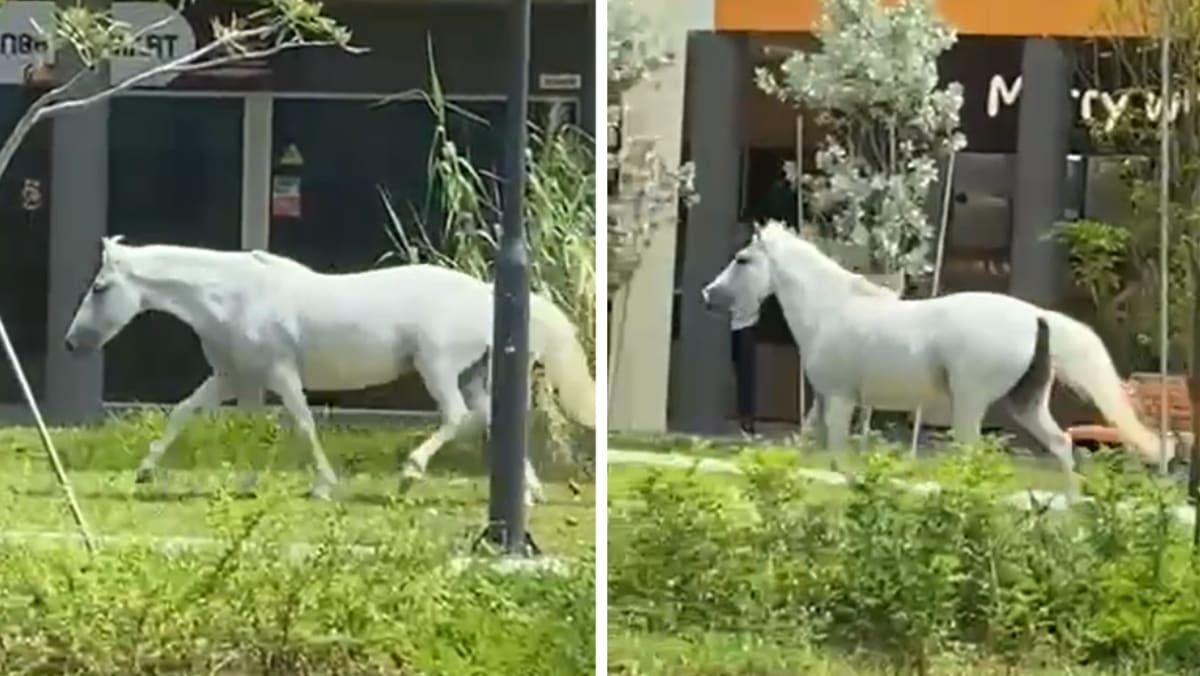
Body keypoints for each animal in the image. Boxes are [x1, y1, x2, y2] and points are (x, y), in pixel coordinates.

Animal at [63, 236, 596, 504]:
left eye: (100, 287)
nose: (71, 344)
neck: (234, 296)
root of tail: (489, 293)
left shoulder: (279, 373)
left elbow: (302, 423)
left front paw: (324, 486)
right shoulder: (233, 377)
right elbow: (183, 413)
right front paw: (145, 472)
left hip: (438, 367)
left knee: (457, 417)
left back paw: (410, 474)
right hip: (472, 374)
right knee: (488, 419)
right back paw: (527, 492)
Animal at [701, 221, 1163, 495]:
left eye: (742, 259)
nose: (708, 294)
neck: (831, 310)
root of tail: (1036, 316)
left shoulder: (842, 398)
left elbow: (836, 451)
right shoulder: (824, 398)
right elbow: (806, 444)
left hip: (970, 402)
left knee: (975, 453)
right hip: (1026, 403)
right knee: (1062, 444)